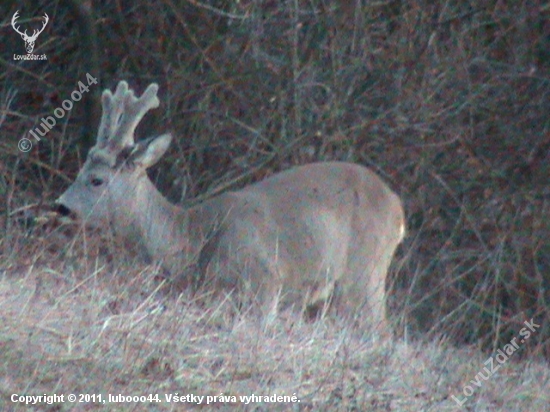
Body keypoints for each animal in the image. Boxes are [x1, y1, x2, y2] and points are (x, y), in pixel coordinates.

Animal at [57, 82, 406, 330]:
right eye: (80, 169)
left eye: (96, 179)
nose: (61, 206)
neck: (194, 237)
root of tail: (397, 207)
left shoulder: (265, 280)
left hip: (364, 270)